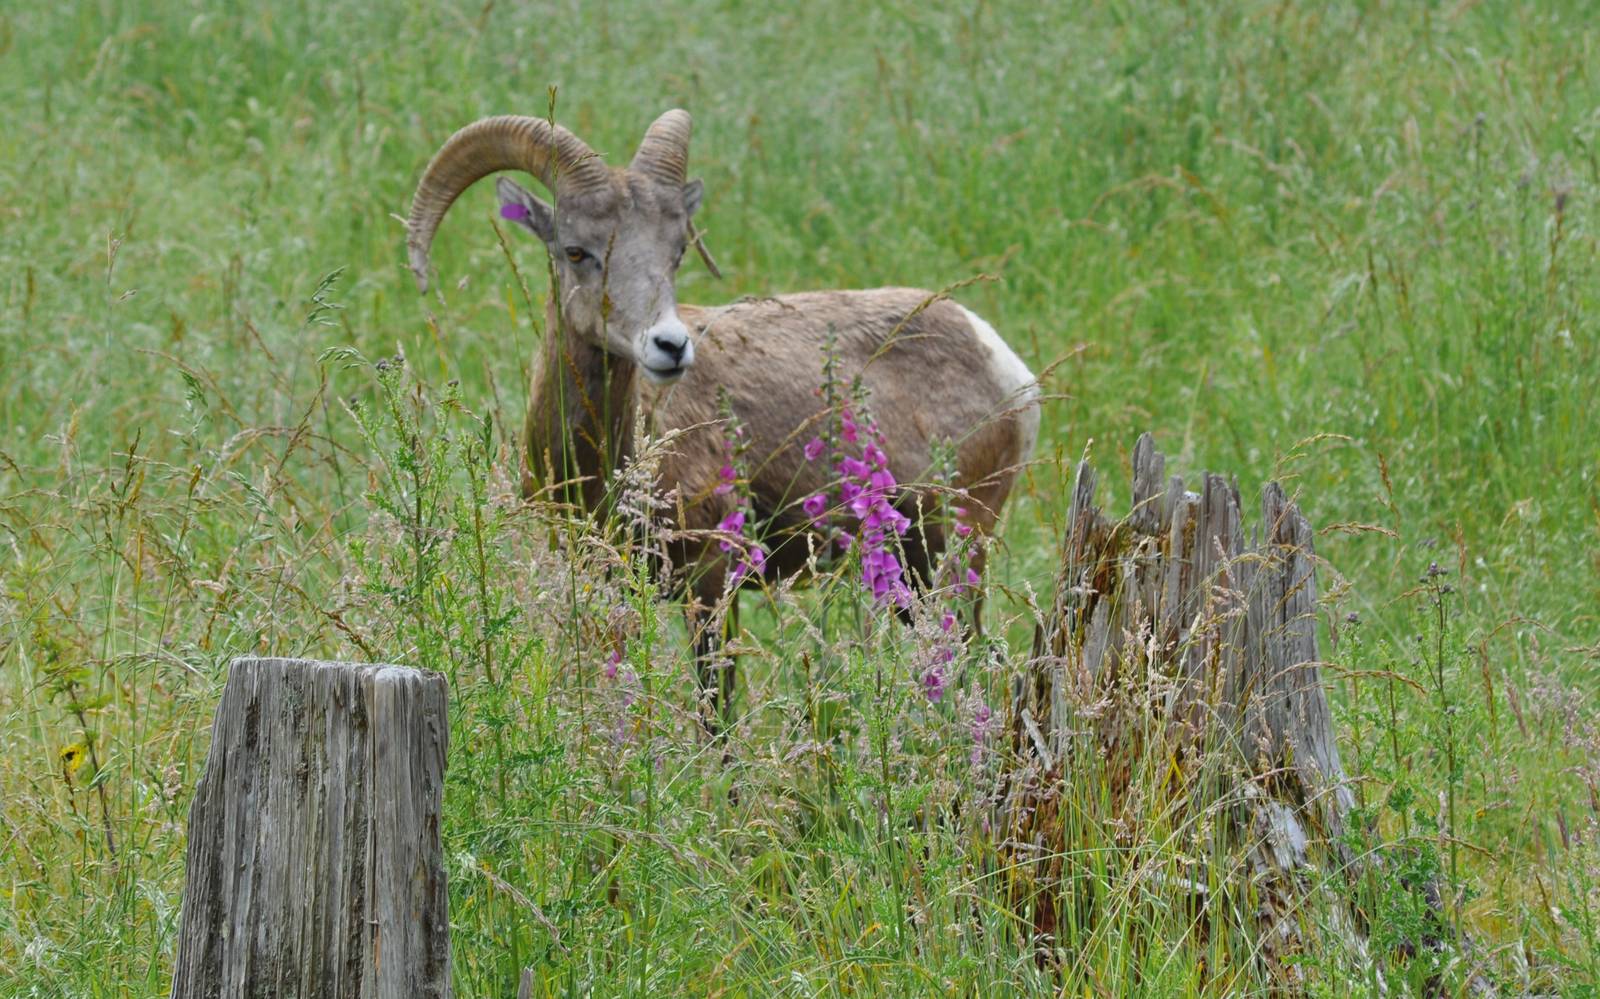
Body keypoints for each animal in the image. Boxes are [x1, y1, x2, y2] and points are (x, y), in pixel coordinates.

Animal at [406, 109, 1040, 730]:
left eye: (676, 253)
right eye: (575, 251)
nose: (669, 346)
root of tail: (1008, 370)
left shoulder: (711, 587)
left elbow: (718, 721)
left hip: (952, 556)